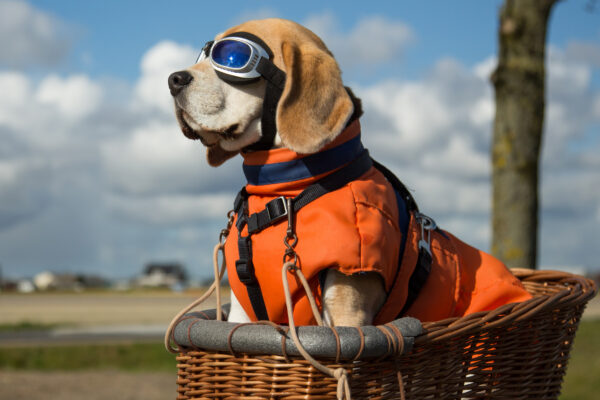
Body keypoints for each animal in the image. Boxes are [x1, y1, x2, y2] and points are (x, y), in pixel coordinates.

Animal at [168, 18, 528, 326]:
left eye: (231, 56)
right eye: (202, 55)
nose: (173, 79)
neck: (284, 187)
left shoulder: (346, 310)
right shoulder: (242, 313)